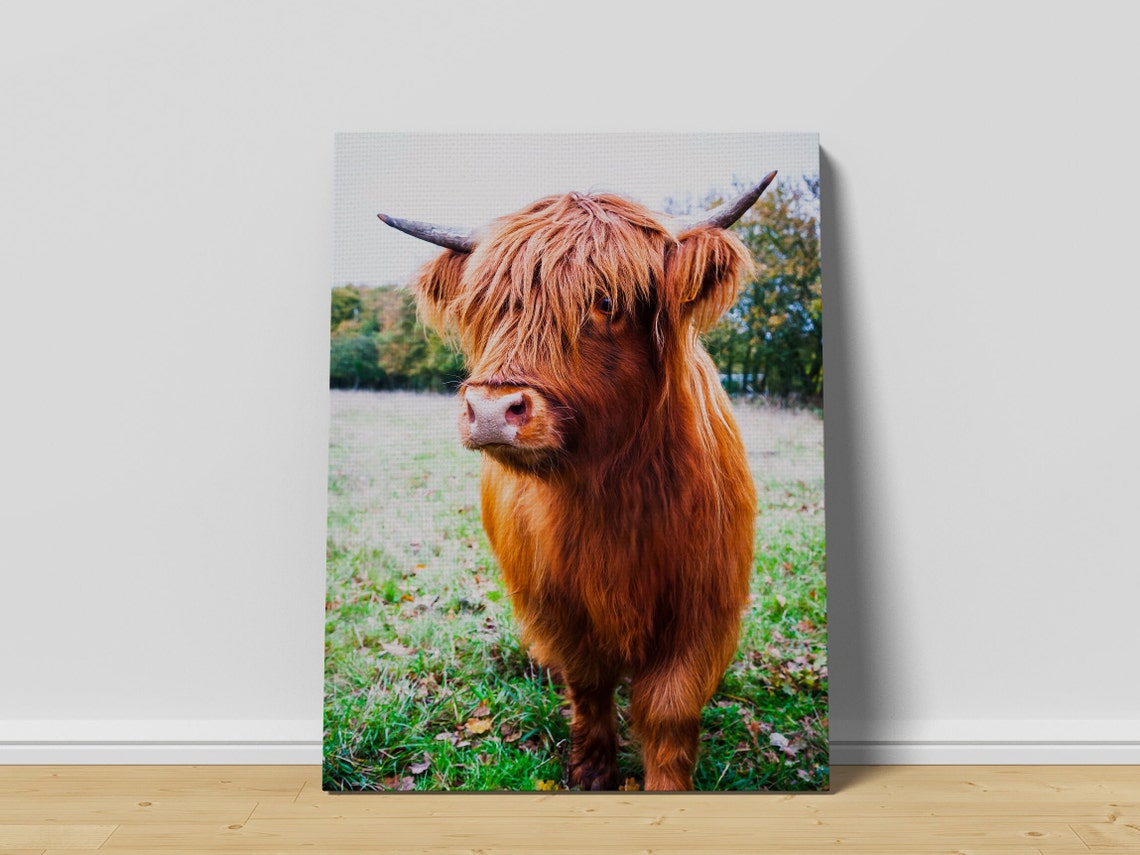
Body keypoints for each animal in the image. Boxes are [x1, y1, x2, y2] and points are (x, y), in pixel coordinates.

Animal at [378, 172, 775, 790]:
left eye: (606, 301)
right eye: (487, 305)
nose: (490, 411)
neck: (614, 496)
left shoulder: (704, 606)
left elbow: (669, 710)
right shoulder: (558, 603)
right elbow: (588, 683)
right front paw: (592, 768)